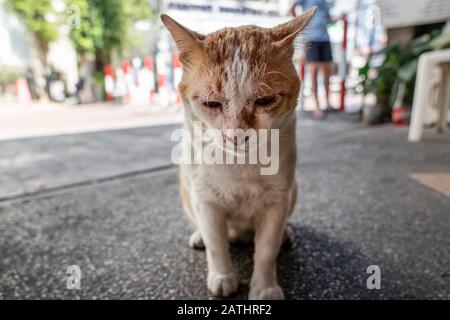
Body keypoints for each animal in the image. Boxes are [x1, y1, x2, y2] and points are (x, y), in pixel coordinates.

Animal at [162, 8, 316, 302]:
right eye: (211, 103)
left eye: (265, 100)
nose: (237, 134)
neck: (239, 167)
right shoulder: (206, 201)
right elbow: (216, 245)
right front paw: (223, 275)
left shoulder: (277, 201)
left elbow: (266, 252)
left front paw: (264, 288)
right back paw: (199, 237)